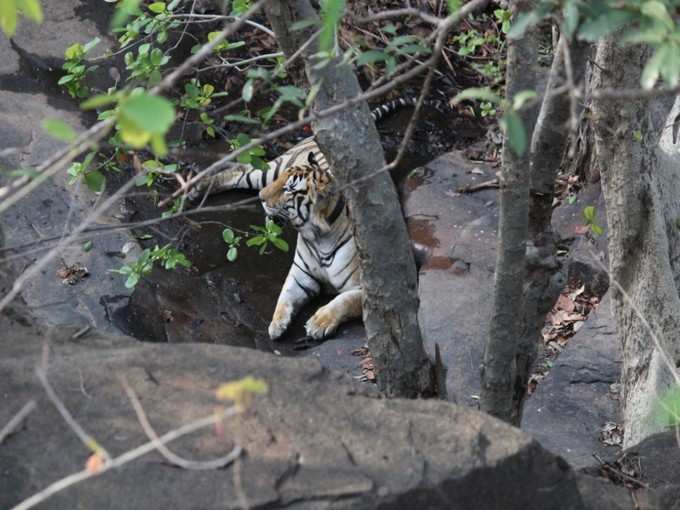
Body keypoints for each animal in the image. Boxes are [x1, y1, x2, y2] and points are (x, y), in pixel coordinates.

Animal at [191, 97, 436, 340]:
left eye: (289, 189)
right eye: (281, 182)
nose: (261, 197)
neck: (320, 237)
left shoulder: (368, 288)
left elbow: (342, 301)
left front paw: (318, 323)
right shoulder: (300, 273)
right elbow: (284, 296)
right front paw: (276, 324)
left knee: (240, 169)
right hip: (268, 170)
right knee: (242, 170)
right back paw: (198, 186)